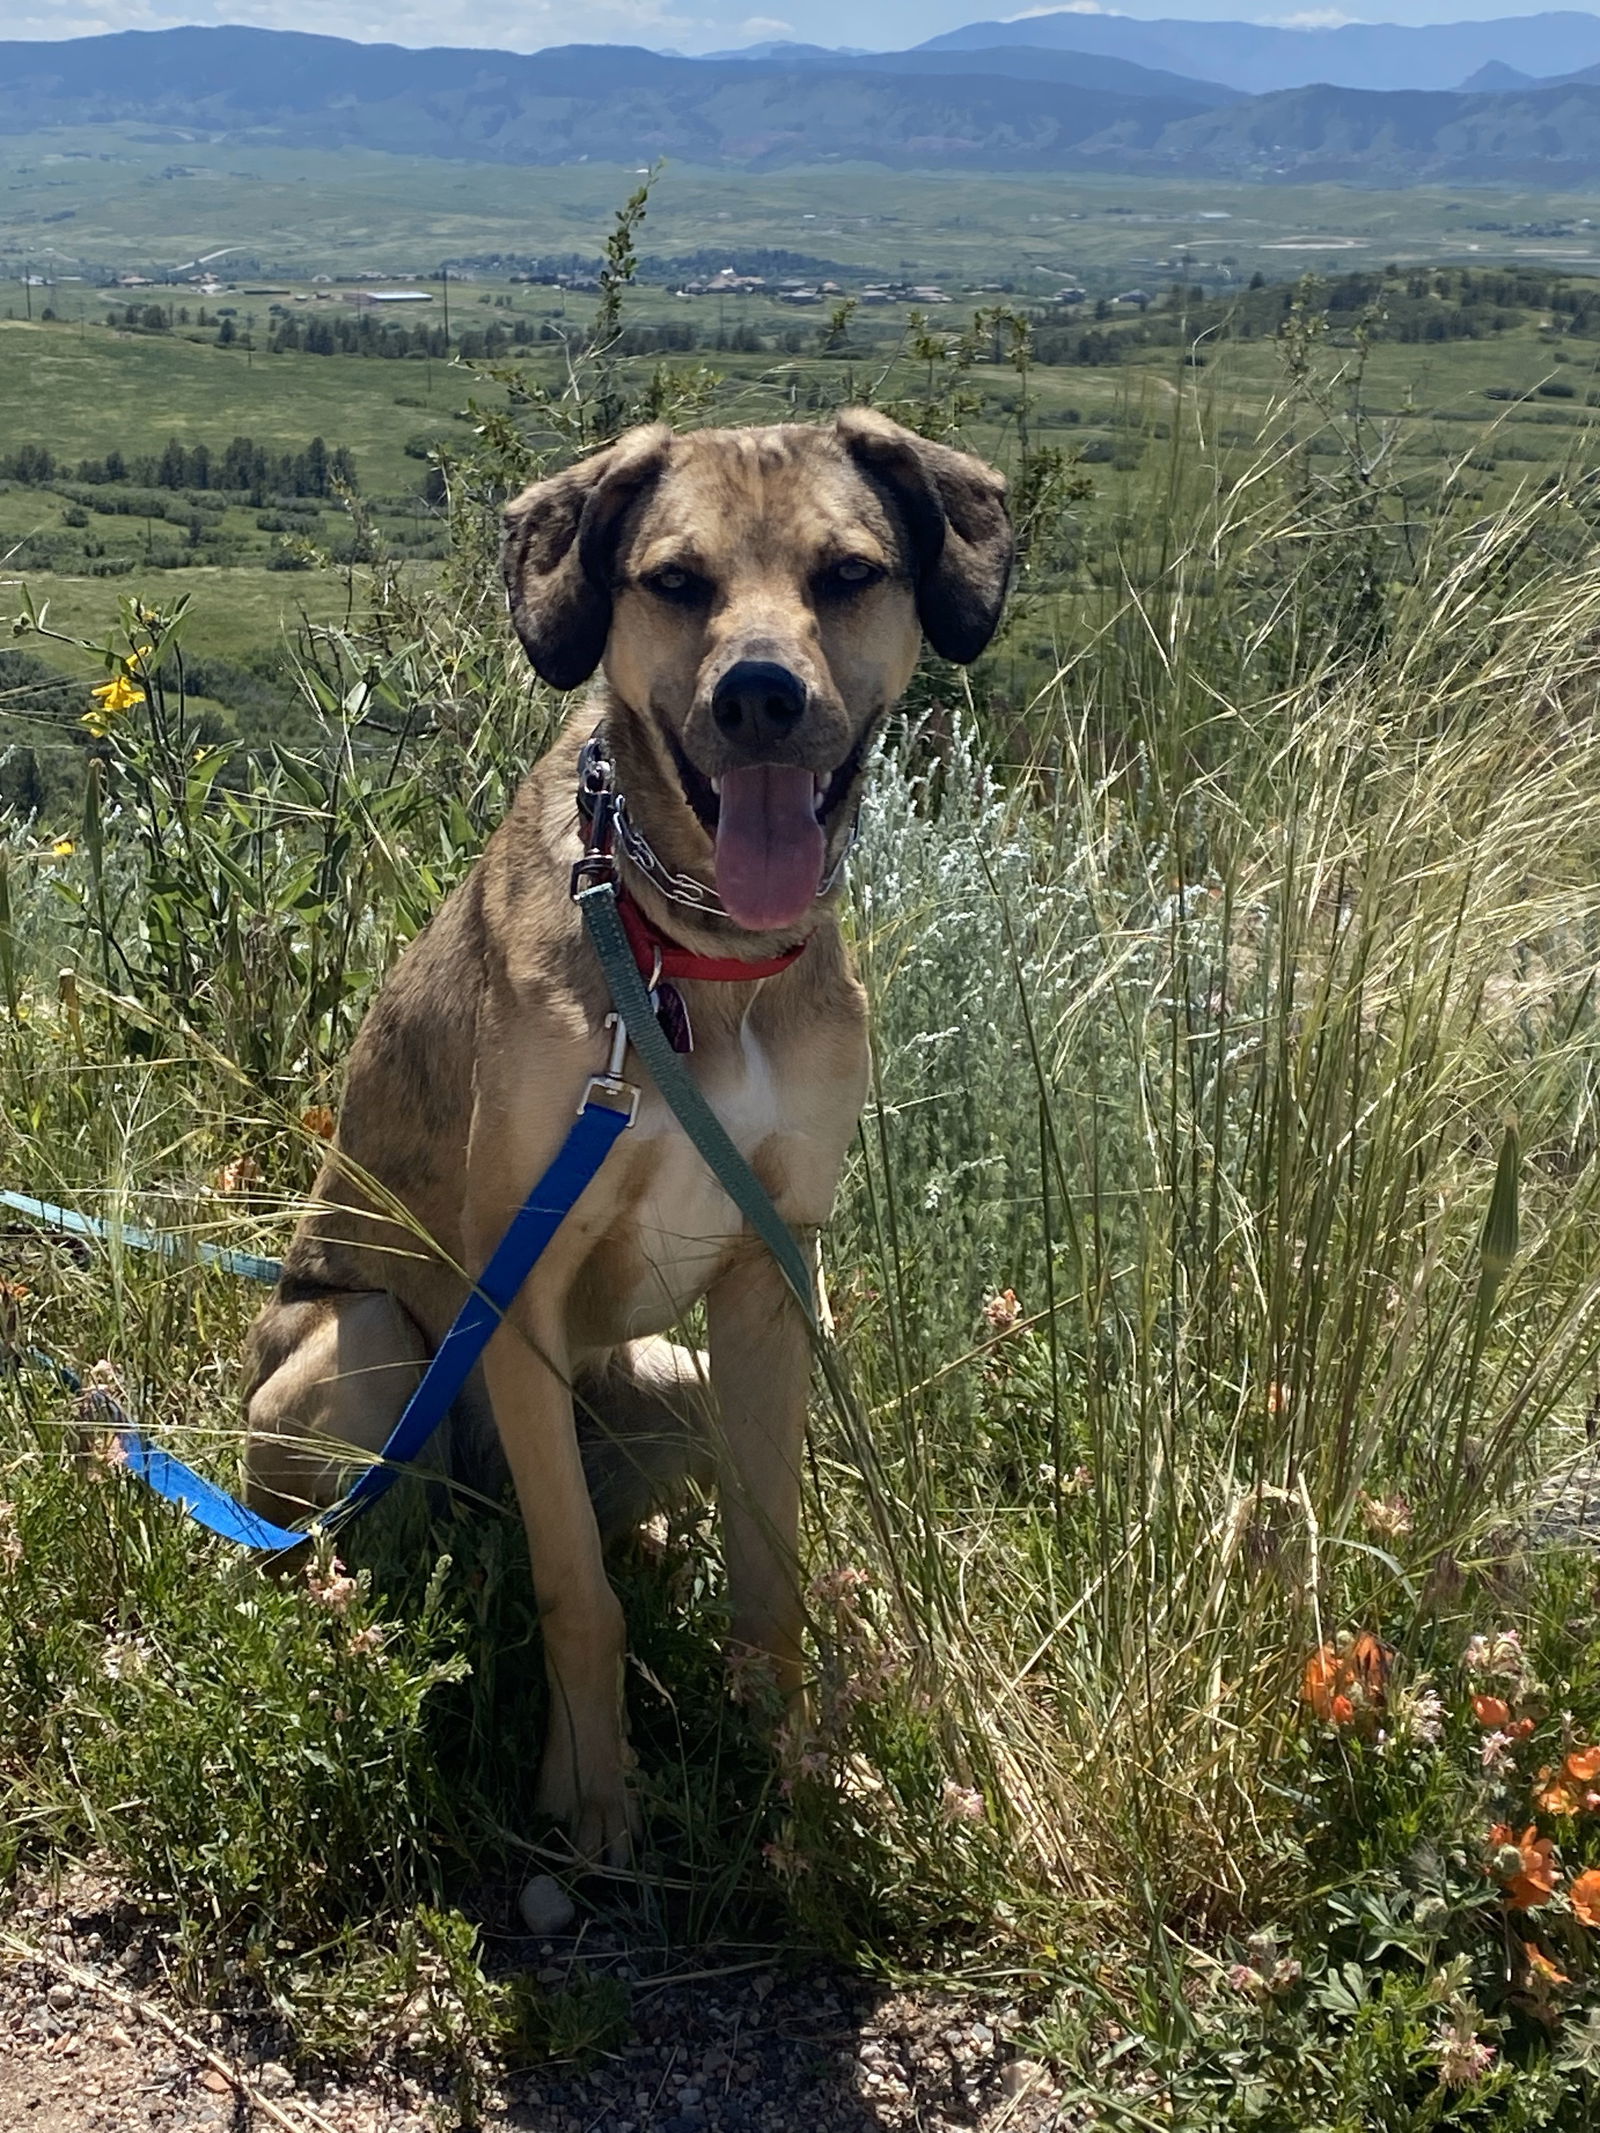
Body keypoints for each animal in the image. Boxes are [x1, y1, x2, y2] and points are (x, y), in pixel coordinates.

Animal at [241, 407, 1015, 1911]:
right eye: (674, 581)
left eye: (848, 573)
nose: (760, 697)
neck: (690, 948)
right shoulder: (522, 1286)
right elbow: (575, 1598)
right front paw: (592, 1806)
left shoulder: (773, 1285)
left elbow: (770, 1586)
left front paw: (796, 1787)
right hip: (369, 1353)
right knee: (389, 1532)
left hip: (674, 1385)